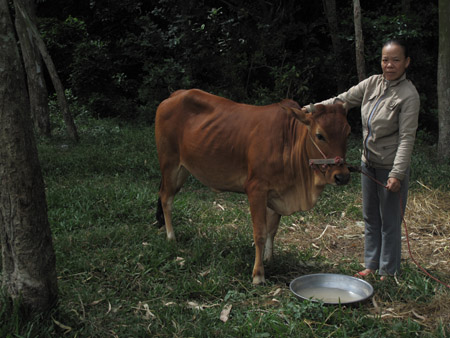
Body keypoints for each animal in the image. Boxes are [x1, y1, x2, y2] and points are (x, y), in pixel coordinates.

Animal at [155, 88, 352, 284]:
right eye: (320, 135)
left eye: (348, 133)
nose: (342, 176)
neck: (289, 141)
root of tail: (175, 95)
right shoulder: (256, 190)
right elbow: (260, 233)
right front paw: (258, 274)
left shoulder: (276, 193)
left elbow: (272, 230)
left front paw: (269, 258)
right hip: (170, 165)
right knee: (166, 198)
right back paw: (171, 236)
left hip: (182, 169)